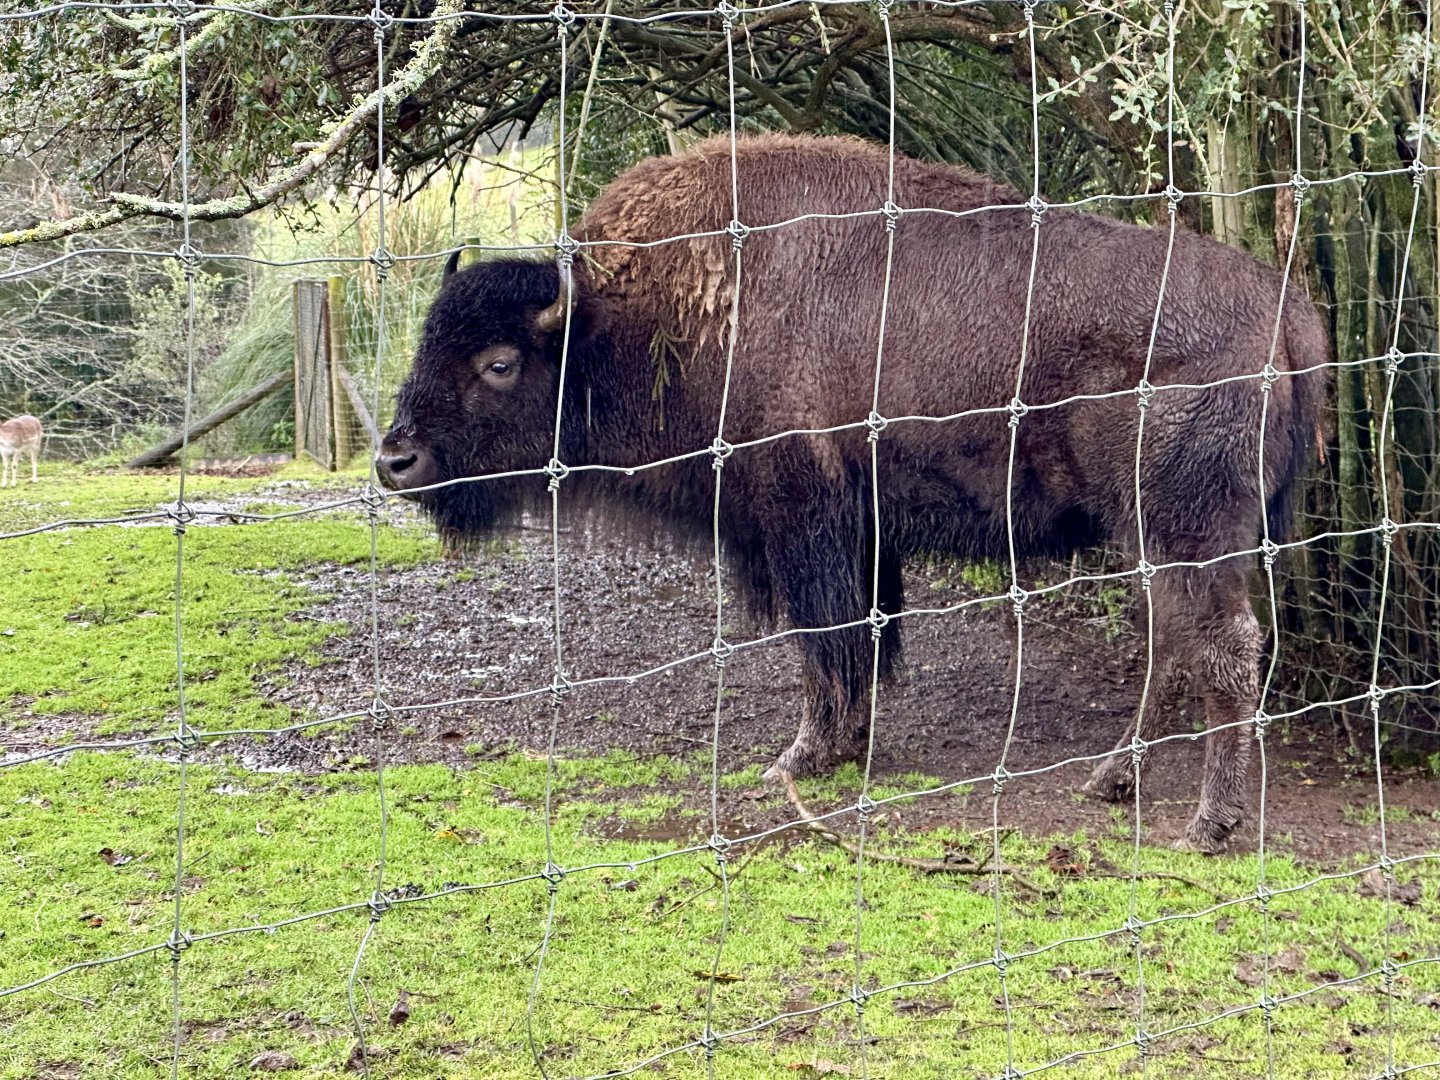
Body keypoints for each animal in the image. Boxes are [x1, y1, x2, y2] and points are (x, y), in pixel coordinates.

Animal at [378, 134, 1324, 852]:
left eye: (500, 363)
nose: (395, 459)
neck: (631, 322)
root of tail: (1283, 310)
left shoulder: (806, 523)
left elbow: (827, 641)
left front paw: (799, 759)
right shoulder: (861, 535)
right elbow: (862, 637)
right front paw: (846, 745)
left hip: (1182, 529)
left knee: (1224, 645)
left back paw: (1208, 825)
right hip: (1156, 537)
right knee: (1176, 641)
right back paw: (1112, 781)